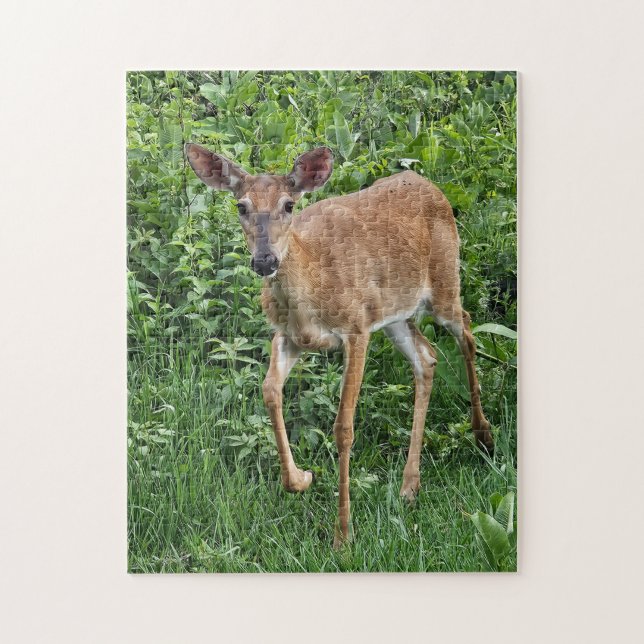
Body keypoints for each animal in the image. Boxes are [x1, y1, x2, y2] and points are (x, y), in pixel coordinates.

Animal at [185, 143, 494, 547]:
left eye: (289, 204)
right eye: (241, 206)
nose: (265, 260)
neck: (312, 285)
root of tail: (430, 185)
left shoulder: (356, 328)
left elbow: (344, 427)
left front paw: (343, 535)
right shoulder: (289, 336)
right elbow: (269, 391)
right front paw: (301, 478)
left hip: (444, 284)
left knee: (468, 331)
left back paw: (483, 435)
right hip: (394, 316)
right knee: (426, 358)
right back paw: (410, 486)